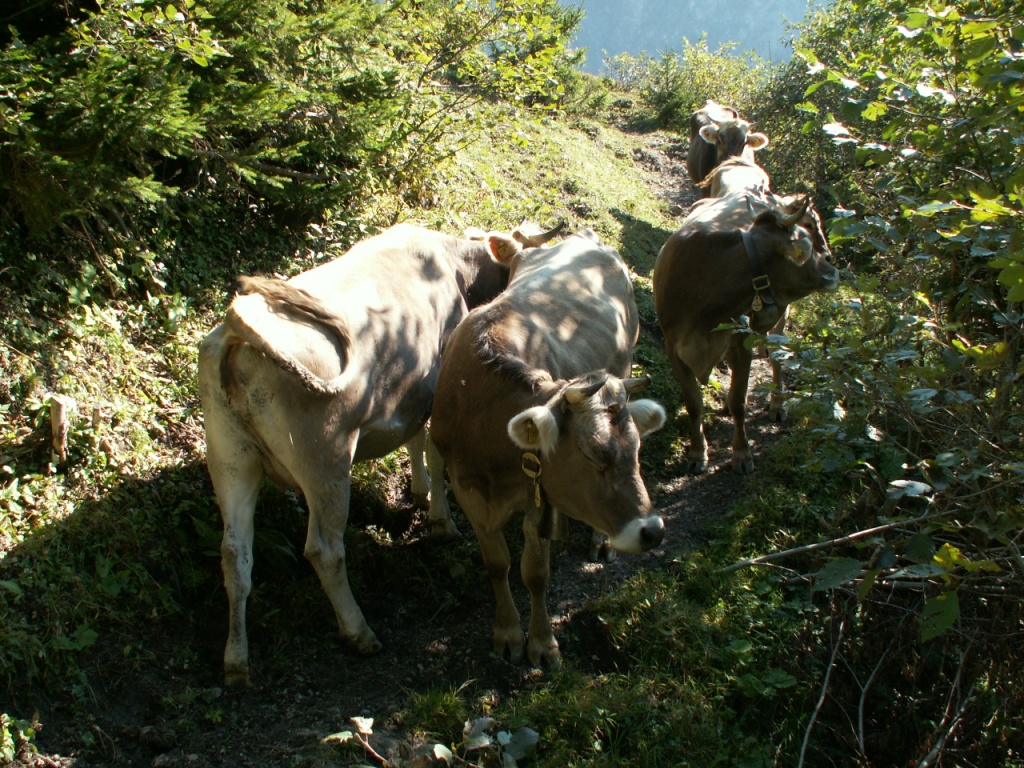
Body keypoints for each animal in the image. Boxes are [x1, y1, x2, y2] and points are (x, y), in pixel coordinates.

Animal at [198, 220, 564, 688]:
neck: (452, 261)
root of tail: (236, 330)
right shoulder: (437, 385)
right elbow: (432, 449)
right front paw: (440, 517)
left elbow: (413, 438)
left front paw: (420, 492)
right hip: (326, 460)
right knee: (324, 549)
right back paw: (359, 632)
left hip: (229, 457)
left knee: (234, 554)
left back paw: (236, 660)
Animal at [430, 229, 667, 669]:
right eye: (592, 454)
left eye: (637, 450)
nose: (653, 530)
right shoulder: (467, 486)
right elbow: (497, 563)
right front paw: (507, 633)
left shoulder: (539, 496)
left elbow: (535, 572)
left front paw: (542, 643)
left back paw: (599, 541)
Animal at [653, 191, 840, 475]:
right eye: (805, 238)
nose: (831, 265)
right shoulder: (672, 346)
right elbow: (694, 404)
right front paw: (697, 453)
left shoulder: (741, 343)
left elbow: (739, 401)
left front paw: (742, 454)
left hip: (780, 317)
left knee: (777, 358)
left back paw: (777, 404)